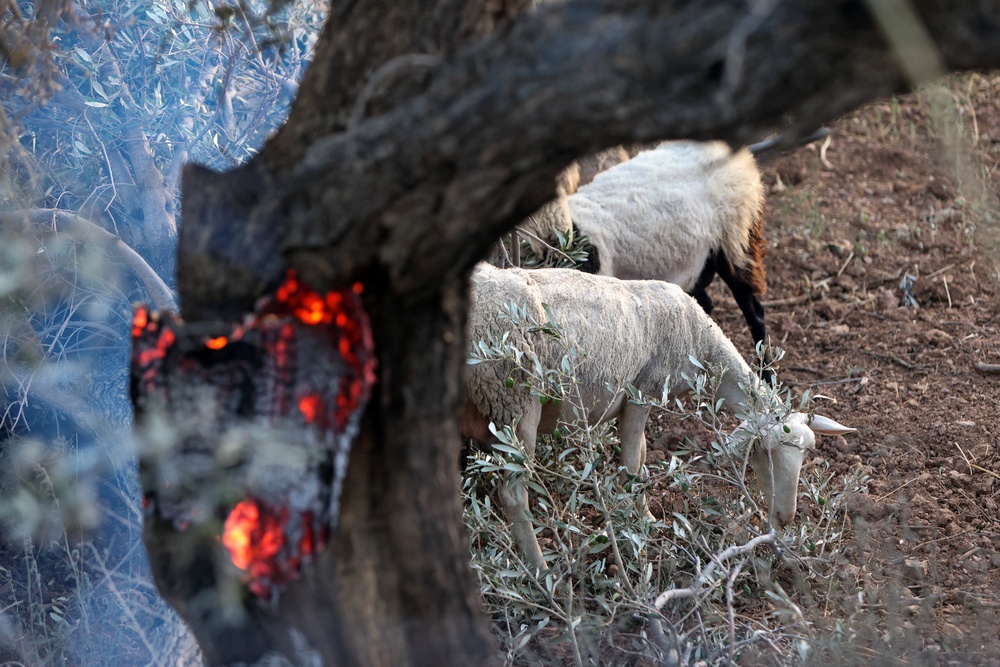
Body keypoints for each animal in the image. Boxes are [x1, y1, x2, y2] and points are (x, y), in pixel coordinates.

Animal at [462, 264, 853, 570]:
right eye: (766, 452)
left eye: (806, 454)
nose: (785, 517)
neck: (701, 342)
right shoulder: (644, 392)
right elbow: (634, 463)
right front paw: (639, 525)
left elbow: (644, 454)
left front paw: (648, 515)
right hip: (514, 401)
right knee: (514, 494)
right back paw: (540, 568)